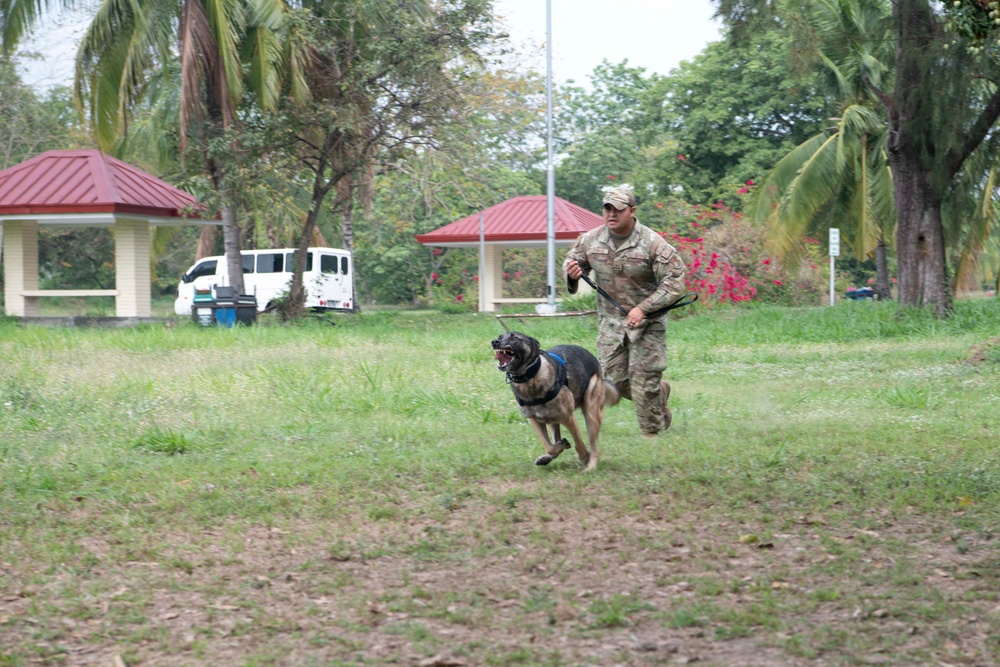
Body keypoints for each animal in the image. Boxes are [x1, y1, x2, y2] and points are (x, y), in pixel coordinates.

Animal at [490, 332, 616, 470]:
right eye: (500, 337)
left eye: (513, 338)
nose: (494, 342)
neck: (530, 378)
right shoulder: (535, 420)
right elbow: (549, 446)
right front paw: (560, 446)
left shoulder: (569, 419)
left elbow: (579, 443)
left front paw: (584, 456)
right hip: (552, 421)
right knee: (555, 440)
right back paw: (549, 456)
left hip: (591, 413)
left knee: (594, 446)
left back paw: (591, 465)